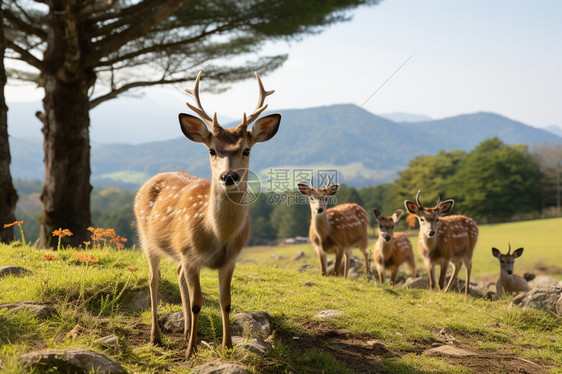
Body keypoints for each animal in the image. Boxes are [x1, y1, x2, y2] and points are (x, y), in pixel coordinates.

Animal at [134, 71, 282, 358]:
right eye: (211, 150)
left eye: (247, 149)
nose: (228, 176)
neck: (217, 236)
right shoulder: (191, 256)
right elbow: (198, 303)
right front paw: (190, 351)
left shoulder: (230, 260)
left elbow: (226, 302)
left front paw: (227, 346)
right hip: (147, 240)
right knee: (153, 280)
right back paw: (156, 336)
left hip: (177, 253)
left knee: (177, 274)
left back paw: (185, 330)